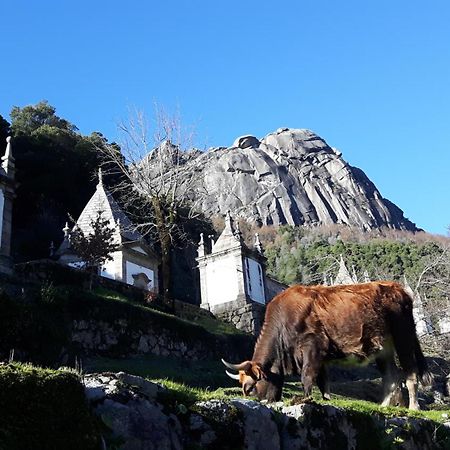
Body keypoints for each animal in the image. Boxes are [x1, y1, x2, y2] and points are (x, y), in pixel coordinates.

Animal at [223, 284, 430, 410]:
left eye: (250, 387)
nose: (260, 401)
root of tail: (398, 289)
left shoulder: (312, 347)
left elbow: (307, 376)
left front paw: (305, 398)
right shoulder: (320, 357)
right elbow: (323, 382)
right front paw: (325, 400)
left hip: (404, 338)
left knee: (410, 374)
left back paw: (414, 407)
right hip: (383, 347)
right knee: (391, 377)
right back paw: (384, 405)